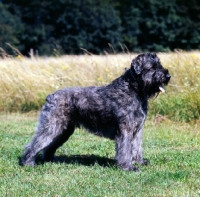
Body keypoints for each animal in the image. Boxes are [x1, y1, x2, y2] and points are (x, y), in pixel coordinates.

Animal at [21, 53, 170, 171]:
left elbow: (137, 147)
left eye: (160, 64)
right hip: (52, 127)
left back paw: (49, 160)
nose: (167, 76)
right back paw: (27, 162)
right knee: (35, 143)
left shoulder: (137, 130)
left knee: (49, 146)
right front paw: (128, 167)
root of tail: (50, 96)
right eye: (152, 67)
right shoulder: (125, 130)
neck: (133, 90)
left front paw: (139, 162)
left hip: (63, 131)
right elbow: (125, 149)